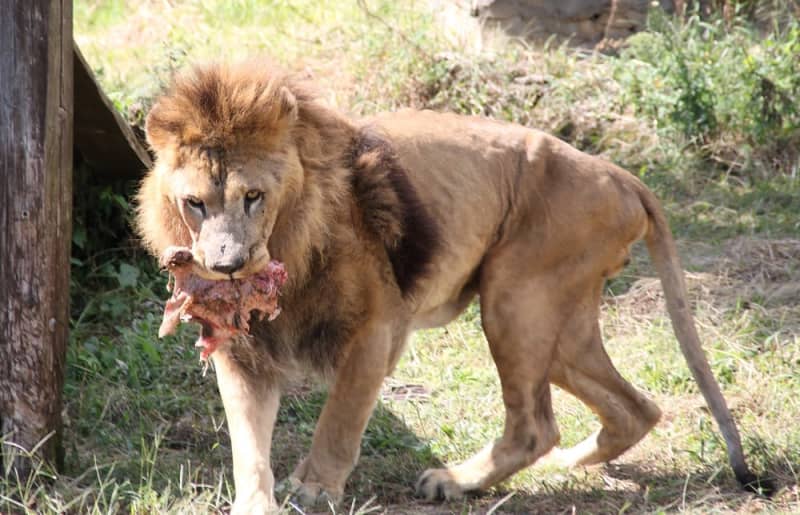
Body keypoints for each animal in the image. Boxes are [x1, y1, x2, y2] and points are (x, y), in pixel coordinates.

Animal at [136, 60, 764, 512]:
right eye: (195, 203)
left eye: (253, 196)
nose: (226, 264)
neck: (291, 238)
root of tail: (618, 173)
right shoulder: (244, 352)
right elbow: (248, 447)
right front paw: (256, 500)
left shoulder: (378, 329)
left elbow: (340, 417)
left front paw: (316, 487)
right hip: (561, 325)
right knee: (636, 407)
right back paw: (570, 463)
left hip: (515, 299)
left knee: (536, 425)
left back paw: (456, 481)